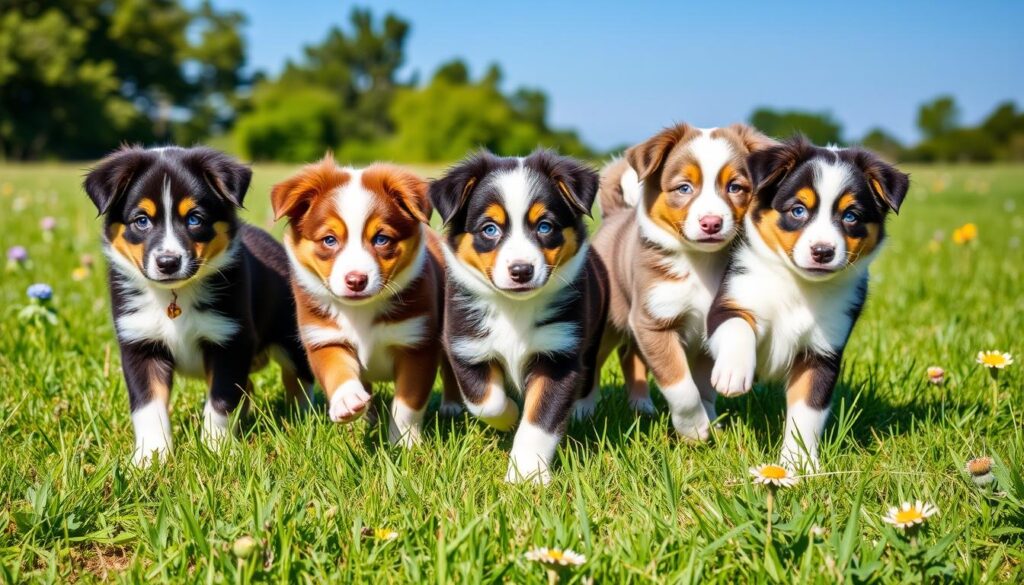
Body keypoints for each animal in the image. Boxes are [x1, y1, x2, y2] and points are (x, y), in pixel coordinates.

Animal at [84, 146, 311, 467]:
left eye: (195, 219)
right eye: (141, 220)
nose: (168, 262)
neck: (174, 296)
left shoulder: (230, 340)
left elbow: (221, 401)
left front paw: (216, 450)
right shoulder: (139, 343)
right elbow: (148, 407)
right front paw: (150, 458)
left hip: (291, 337)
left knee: (300, 378)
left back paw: (303, 418)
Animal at [272, 153, 456, 446]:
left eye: (381, 239)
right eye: (329, 240)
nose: (356, 280)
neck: (361, 311)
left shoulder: (417, 344)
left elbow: (407, 402)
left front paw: (404, 441)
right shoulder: (324, 338)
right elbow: (337, 370)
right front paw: (348, 401)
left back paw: (452, 406)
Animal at [425, 149, 606, 485]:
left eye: (545, 226)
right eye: (490, 229)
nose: (521, 271)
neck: (514, 308)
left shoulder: (559, 355)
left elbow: (539, 421)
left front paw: (527, 475)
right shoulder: (466, 345)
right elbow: (487, 401)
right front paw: (509, 417)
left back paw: (582, 409)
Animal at [593, 123, 770, 438]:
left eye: (735, 187)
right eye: (684, 188)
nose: (711, 223)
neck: (700, 263)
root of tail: (615, 215)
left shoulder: (706, 327)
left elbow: (705, 386)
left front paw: (712, 420)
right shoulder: (654, 322)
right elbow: (681, 385)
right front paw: (694, 429)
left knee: (629, 354)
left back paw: (641, 406)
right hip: (610, 322)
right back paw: (583, 409)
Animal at [704, 138, 913, 471]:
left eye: (851, 216)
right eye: (798, 210)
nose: (822, 251)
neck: (800, 287)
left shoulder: (822, 352)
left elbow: (807, 412)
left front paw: (798, 465)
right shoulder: (730, 300)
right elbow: (738, 326)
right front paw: (733, 372)